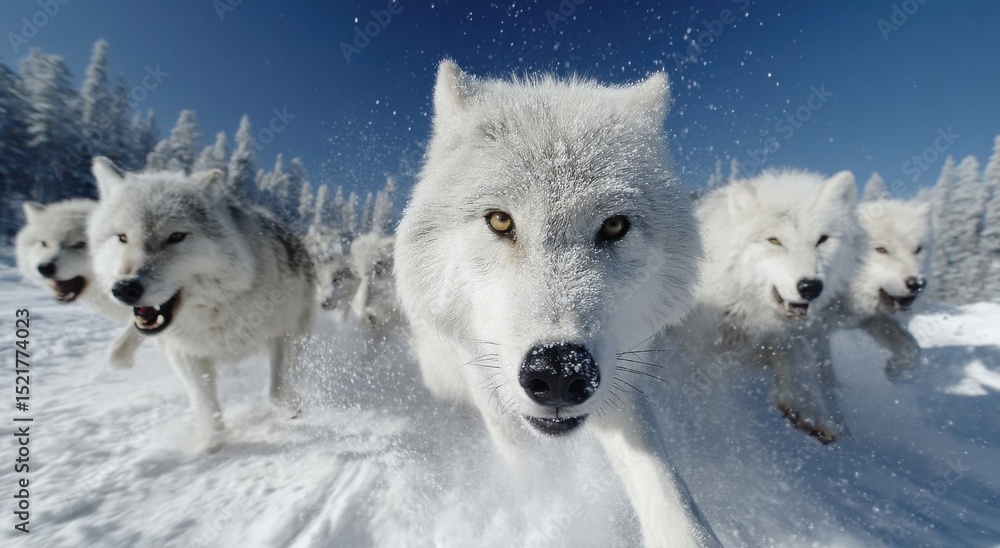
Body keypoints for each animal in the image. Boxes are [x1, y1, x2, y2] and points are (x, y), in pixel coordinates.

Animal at [87, 157, 316, 451]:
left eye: (176, 236)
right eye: (123, 238)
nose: (125, 288)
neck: (215, 311)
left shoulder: (283, 333)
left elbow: (276, 391)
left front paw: (292, 408)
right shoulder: (186, 353)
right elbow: (205, 404)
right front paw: (210, 443)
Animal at [394, 61, 719, 547]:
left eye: (615, 225)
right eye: (500, 220)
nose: (560, 371)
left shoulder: (620, 379)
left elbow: (668, 491)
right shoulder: (495, 400)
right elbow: (529, 476)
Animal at [685, 169, 864, 442]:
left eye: (822, 240)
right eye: (774, 241)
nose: (810, 287)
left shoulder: (765, 341)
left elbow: (797, 355)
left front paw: (808, 411)